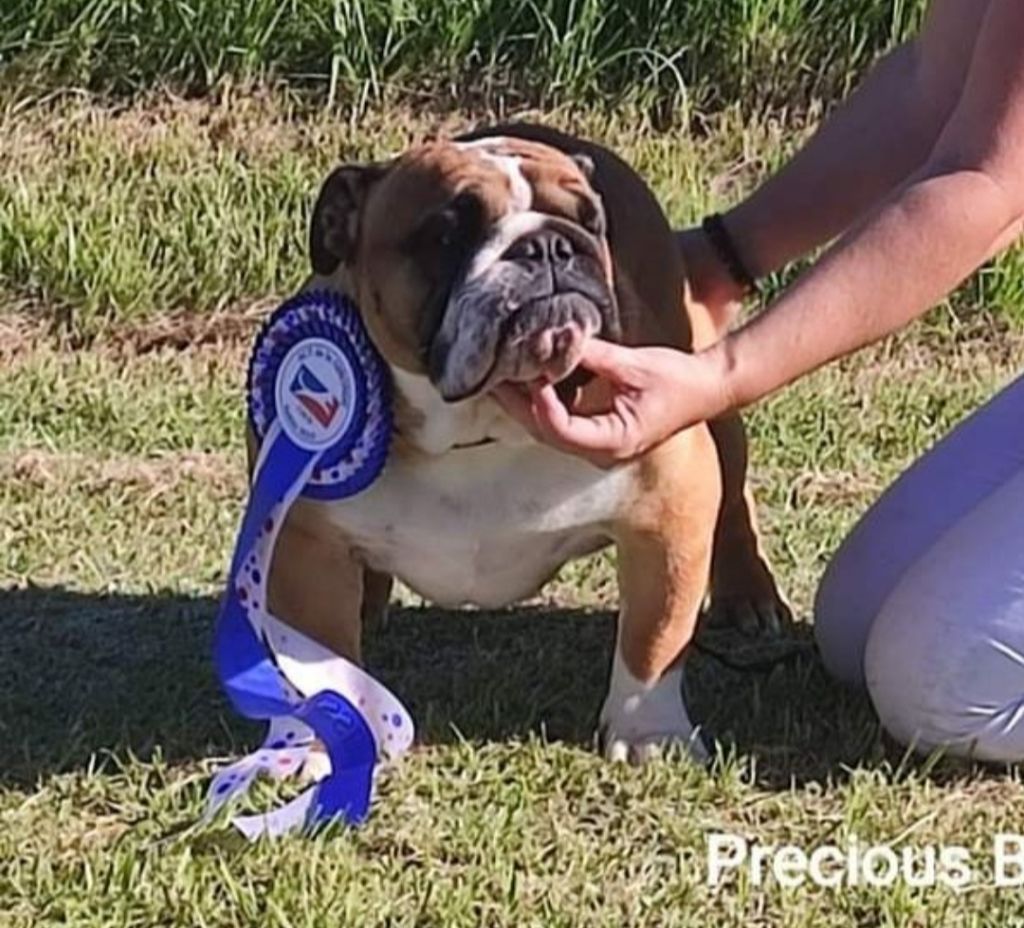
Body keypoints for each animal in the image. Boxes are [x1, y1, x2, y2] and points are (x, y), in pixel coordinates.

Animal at [257, 124, 788, 763]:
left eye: (590, 221)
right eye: (446, 234)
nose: (548, 246)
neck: (477, 429)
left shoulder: (671, 503)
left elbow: (656, 636)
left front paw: (649, 733)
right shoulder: (303, 541)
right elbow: (320, 658)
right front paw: (322, 739)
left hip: (714, 415)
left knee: (734, 503)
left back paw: (749, 595)